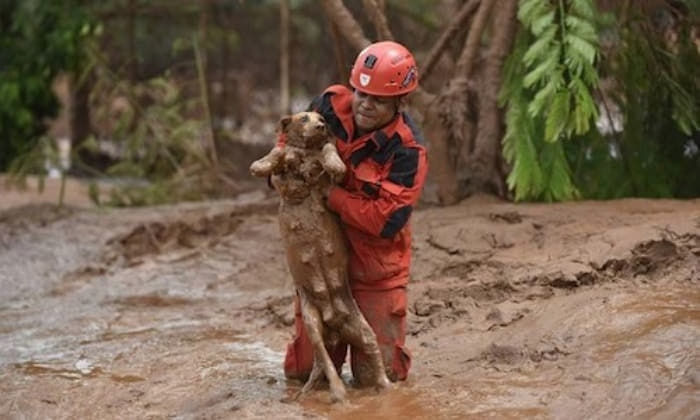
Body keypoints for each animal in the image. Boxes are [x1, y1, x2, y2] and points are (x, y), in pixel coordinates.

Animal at [250, 112, 394, 404]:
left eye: (322, 119)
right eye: (304, 118)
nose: (321, 126)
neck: (306, 151)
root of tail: (335, 326)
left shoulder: (327, 163)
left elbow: (329, 150)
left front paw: (335, 164)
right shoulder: (286, 158)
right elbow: (278, 152)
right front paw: (261, 165)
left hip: (363, 330)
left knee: (369, 357)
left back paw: (380, 388)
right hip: (311, 323)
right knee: (325, 362)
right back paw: (336, 392)